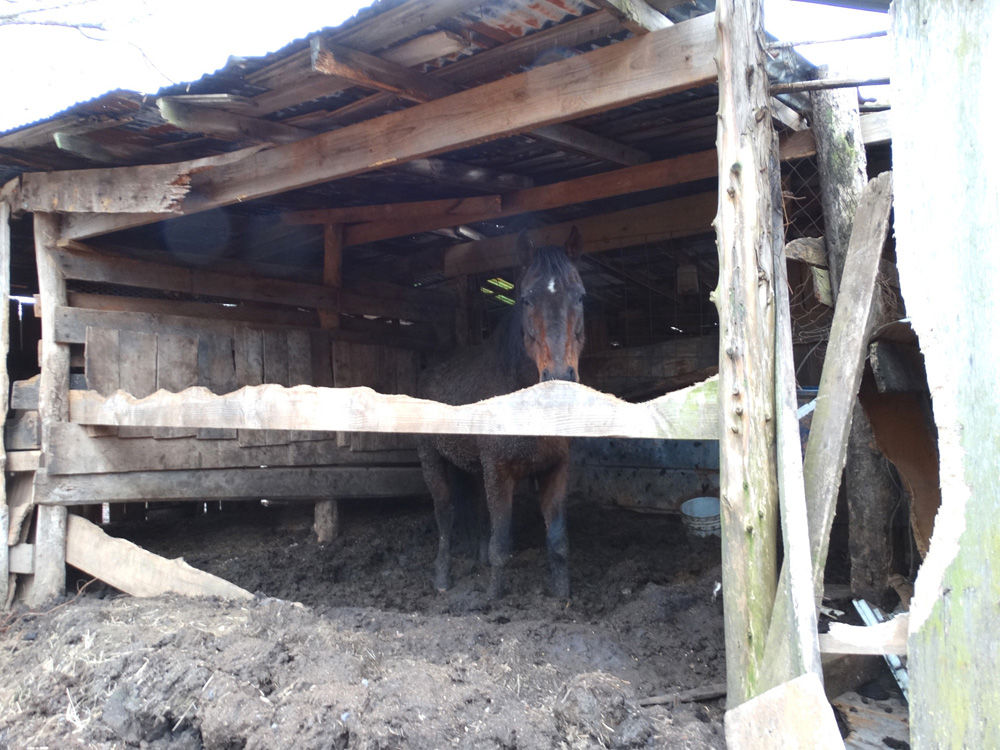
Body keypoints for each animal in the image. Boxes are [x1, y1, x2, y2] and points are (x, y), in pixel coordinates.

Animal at [417, 227, 585, 600]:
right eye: (526, 300)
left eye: (580, 296)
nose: (560, 378)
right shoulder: (499, 471)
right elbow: (501, 543)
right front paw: (491, 599)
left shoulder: (556, 469)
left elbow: (558, 542)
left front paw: (562, 598)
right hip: (433, 460)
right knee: (445, 513)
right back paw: (441, 578)